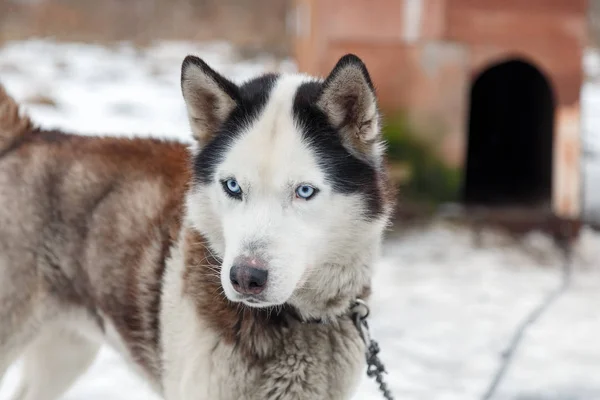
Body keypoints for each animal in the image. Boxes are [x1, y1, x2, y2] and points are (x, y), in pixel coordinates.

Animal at [0, 54, 394, 400]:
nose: (245, 278)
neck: (292, 321)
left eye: (305, 191)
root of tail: (29, 136)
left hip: (67, 352)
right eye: (232, 186)